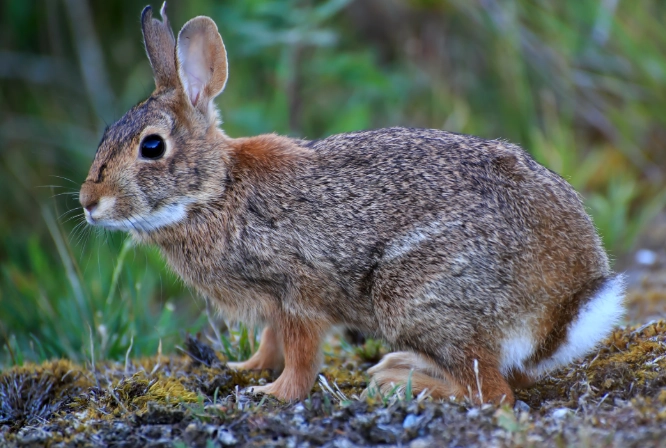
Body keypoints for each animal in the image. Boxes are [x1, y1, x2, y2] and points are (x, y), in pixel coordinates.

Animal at [79, 3, 625, 405]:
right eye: (106, 132)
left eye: (152, 147)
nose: (89, 202)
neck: (215, 191)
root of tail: (563, 308)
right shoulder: (274, 304)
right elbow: (271, 341)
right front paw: (246, 368)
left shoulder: (299, 292)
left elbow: (301, 355)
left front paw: (272, 393)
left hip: (415, 298)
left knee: (493, 393)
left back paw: (401, 382)